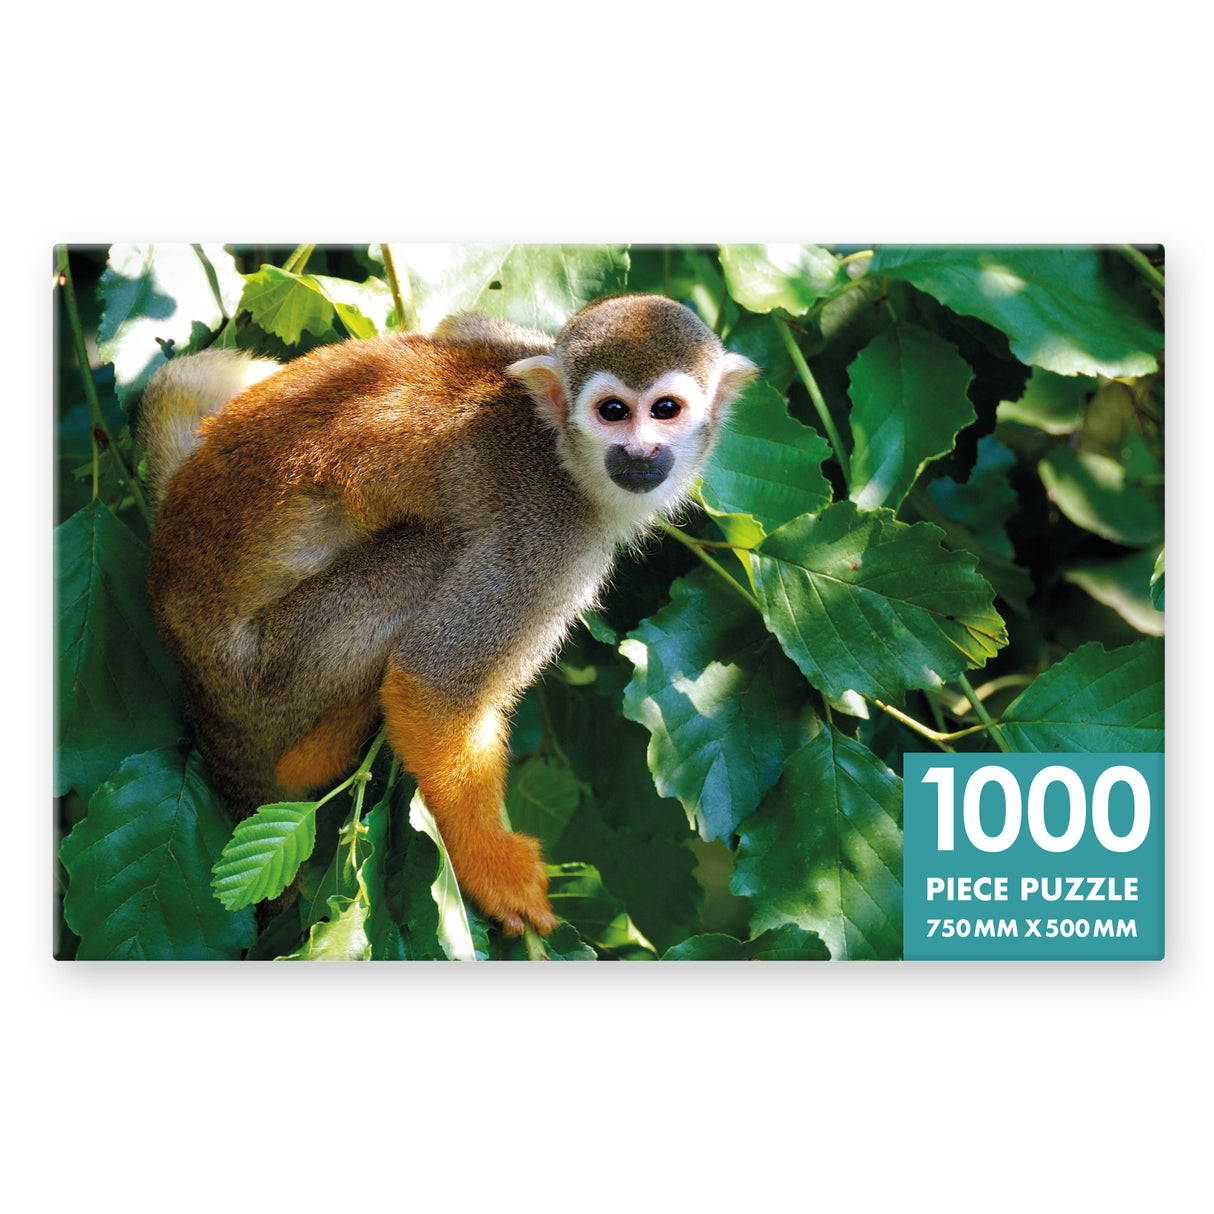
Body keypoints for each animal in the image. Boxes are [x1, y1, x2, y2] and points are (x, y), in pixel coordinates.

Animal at [139, 293, 758, 937]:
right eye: (613, 412)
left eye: (665, 410)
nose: (638, 453)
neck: (560, 451)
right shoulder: (548, 537)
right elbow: (436, 684)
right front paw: (493, 867)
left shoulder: (516, 344)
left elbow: (456, 326)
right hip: (262, 678)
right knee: (426, 555)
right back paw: (322, 751)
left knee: (184, 377)